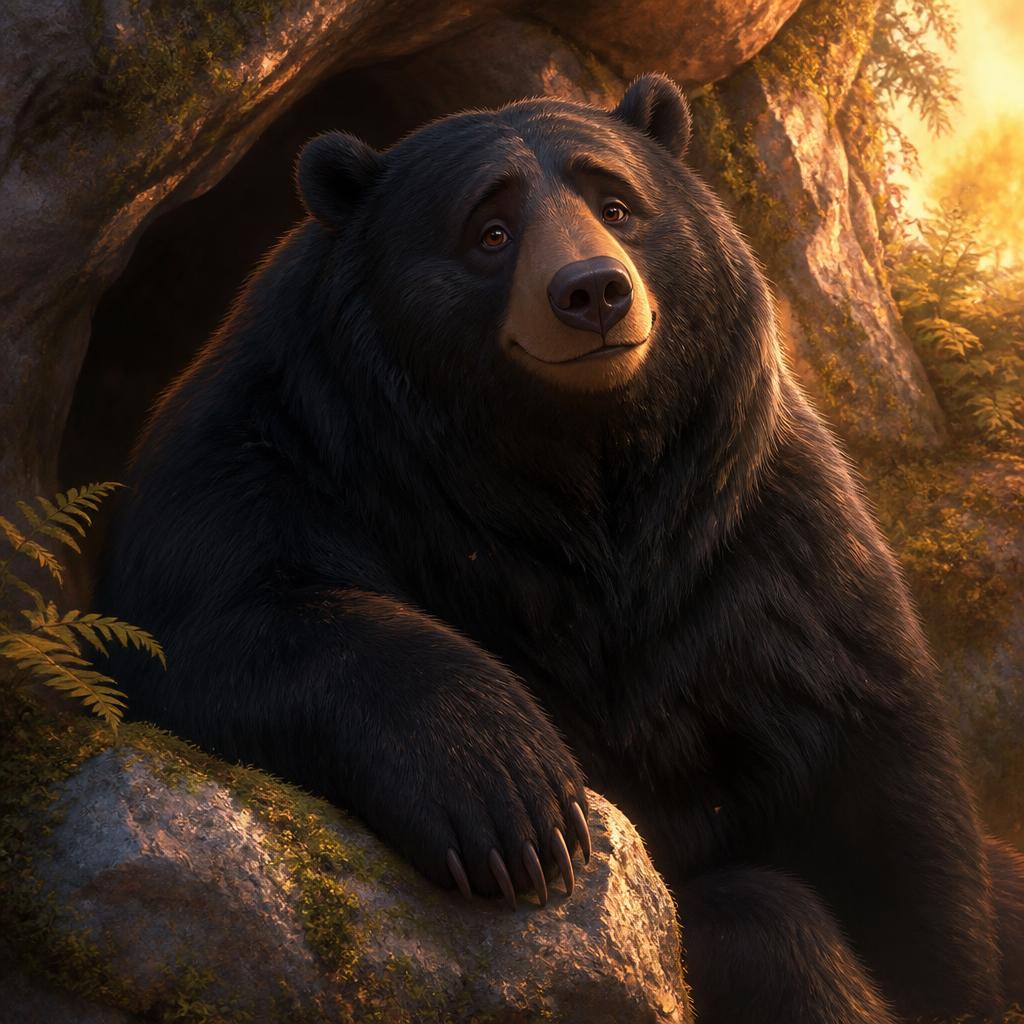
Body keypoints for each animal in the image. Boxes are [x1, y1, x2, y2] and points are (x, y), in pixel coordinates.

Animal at [96, 73, 1024, 1023]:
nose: (594, 292)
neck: (572, 469)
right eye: (490, 230)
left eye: (616, 203)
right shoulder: (284, 453)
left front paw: (942, 975)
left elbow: (862, 741)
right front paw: (516, 800)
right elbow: (220, 619)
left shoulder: (751, 532)